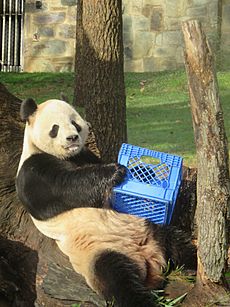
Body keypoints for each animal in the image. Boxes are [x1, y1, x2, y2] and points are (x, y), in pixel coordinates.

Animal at [16, 98, 196, 307]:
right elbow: (67, 184)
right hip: (98, 252)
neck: (68, 156)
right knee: (118, 279)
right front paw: (116, 171)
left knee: (177, 242)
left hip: (149, 227)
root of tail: (148, 255)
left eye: (74, 123)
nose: (72, 138)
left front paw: (145, 172)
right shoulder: (33, 172)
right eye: (55, 128)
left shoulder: (84, 154)